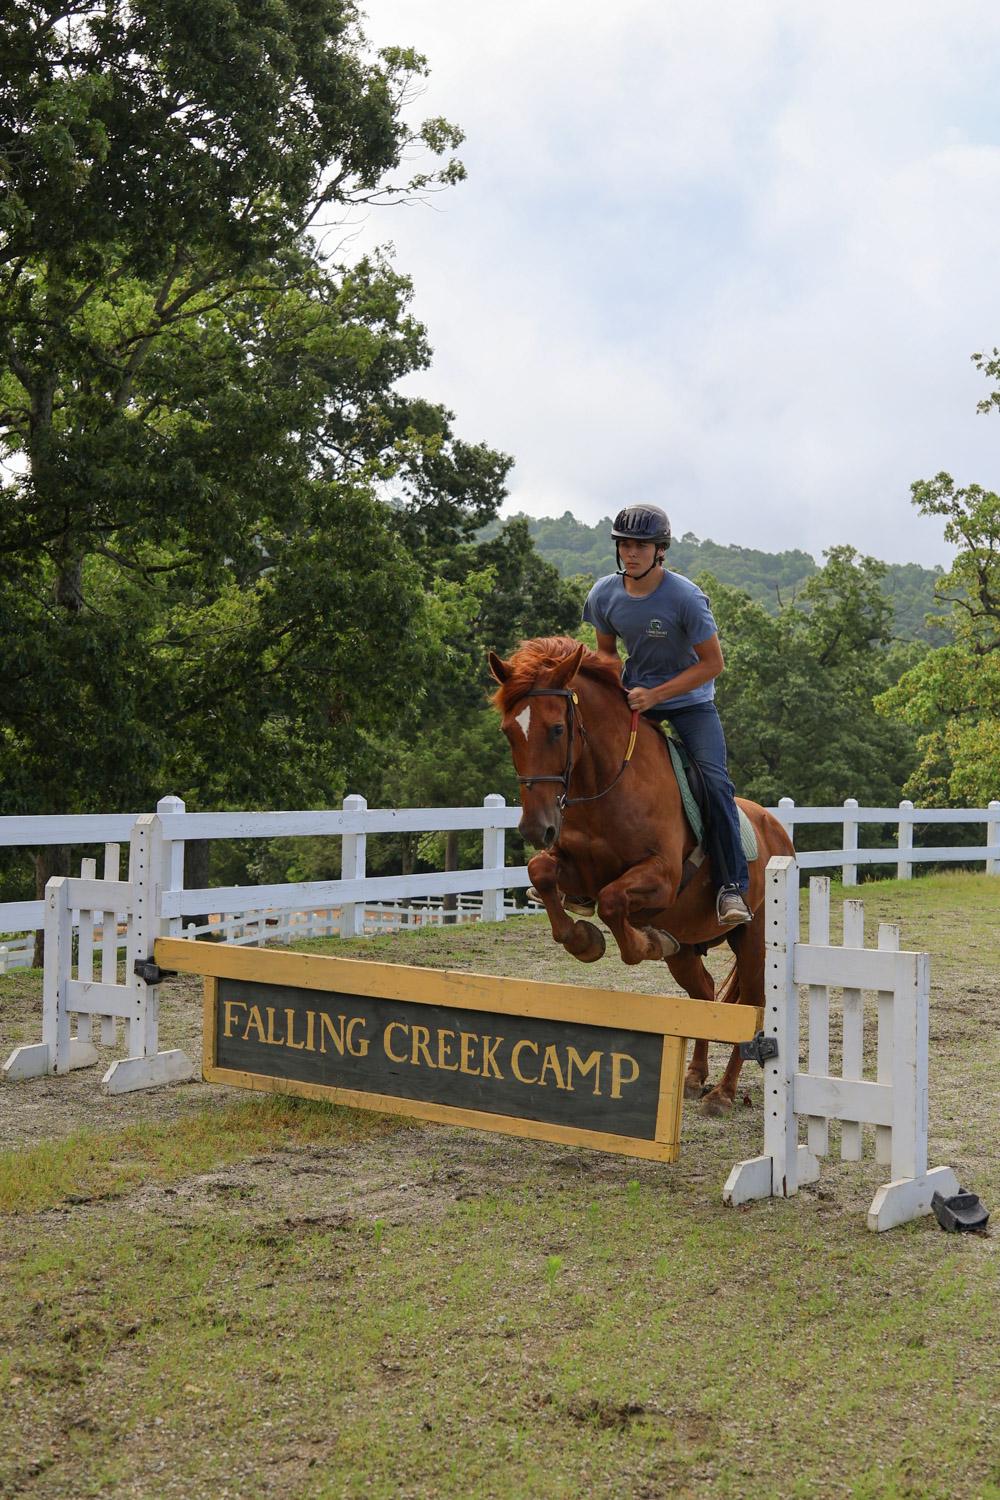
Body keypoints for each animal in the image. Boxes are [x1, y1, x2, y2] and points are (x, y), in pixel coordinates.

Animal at [488, 635, 795, 1115]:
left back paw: (724, 1093)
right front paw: (584, 940)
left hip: (755, 938)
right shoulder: (576, 870)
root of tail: (777, 829)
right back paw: (695, 1077)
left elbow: (614, 902)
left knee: (753, 1004)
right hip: (689, 948)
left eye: (556, 729)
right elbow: (543, 873)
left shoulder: (662, 877)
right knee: (704, 992)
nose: (536, 829)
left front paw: (644, 940)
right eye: (509, 732)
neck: (607, 786)